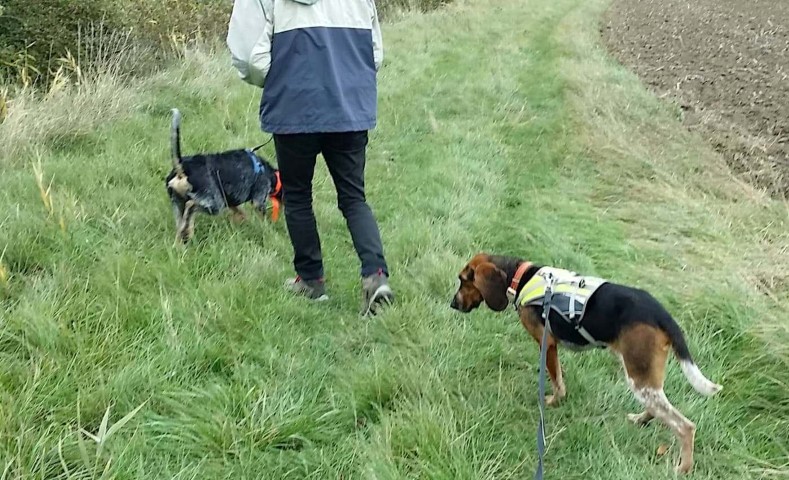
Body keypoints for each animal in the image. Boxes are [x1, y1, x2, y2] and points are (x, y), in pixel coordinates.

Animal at [165, 109, 282, 244]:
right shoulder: (258, 200)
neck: (269, 173)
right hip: (214, 203)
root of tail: (182, 167)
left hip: (177, 203)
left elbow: (241, 212)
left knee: (182, 224)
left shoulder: (231, 201)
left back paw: (181, 241)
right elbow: (262, 218)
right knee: (191, 207)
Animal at [450, 253, 720, 474]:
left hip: (639, 376)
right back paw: (641, 420)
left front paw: (553, 401)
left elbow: (556, 380)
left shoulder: (547, 343)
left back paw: (683, 468)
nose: (452, 304)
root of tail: (661, 314)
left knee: (684, 426)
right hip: (644, 376)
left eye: (463, 280)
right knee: (659, 408)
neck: (521, 277)